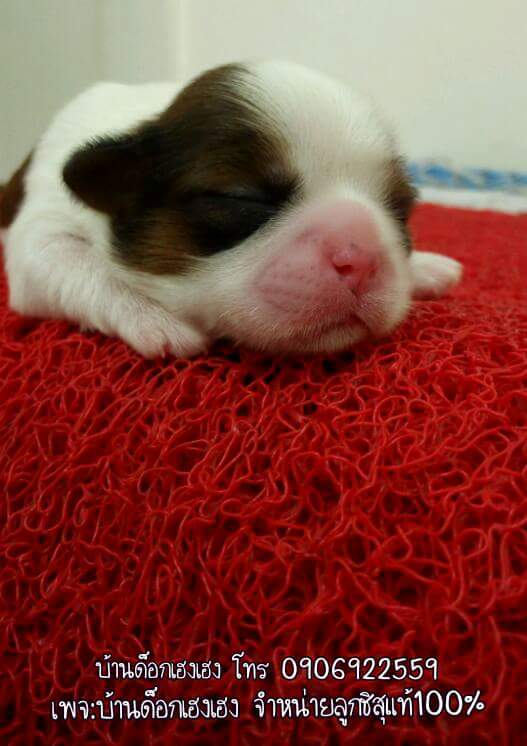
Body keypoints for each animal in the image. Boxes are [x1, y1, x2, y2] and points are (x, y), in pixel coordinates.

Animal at [0, 60, 462, 357]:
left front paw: (423, 267)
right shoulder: (42, 229)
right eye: (242, 198)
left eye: (399, 208)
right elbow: (77, 264)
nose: (361, 260)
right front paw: (153, 317)